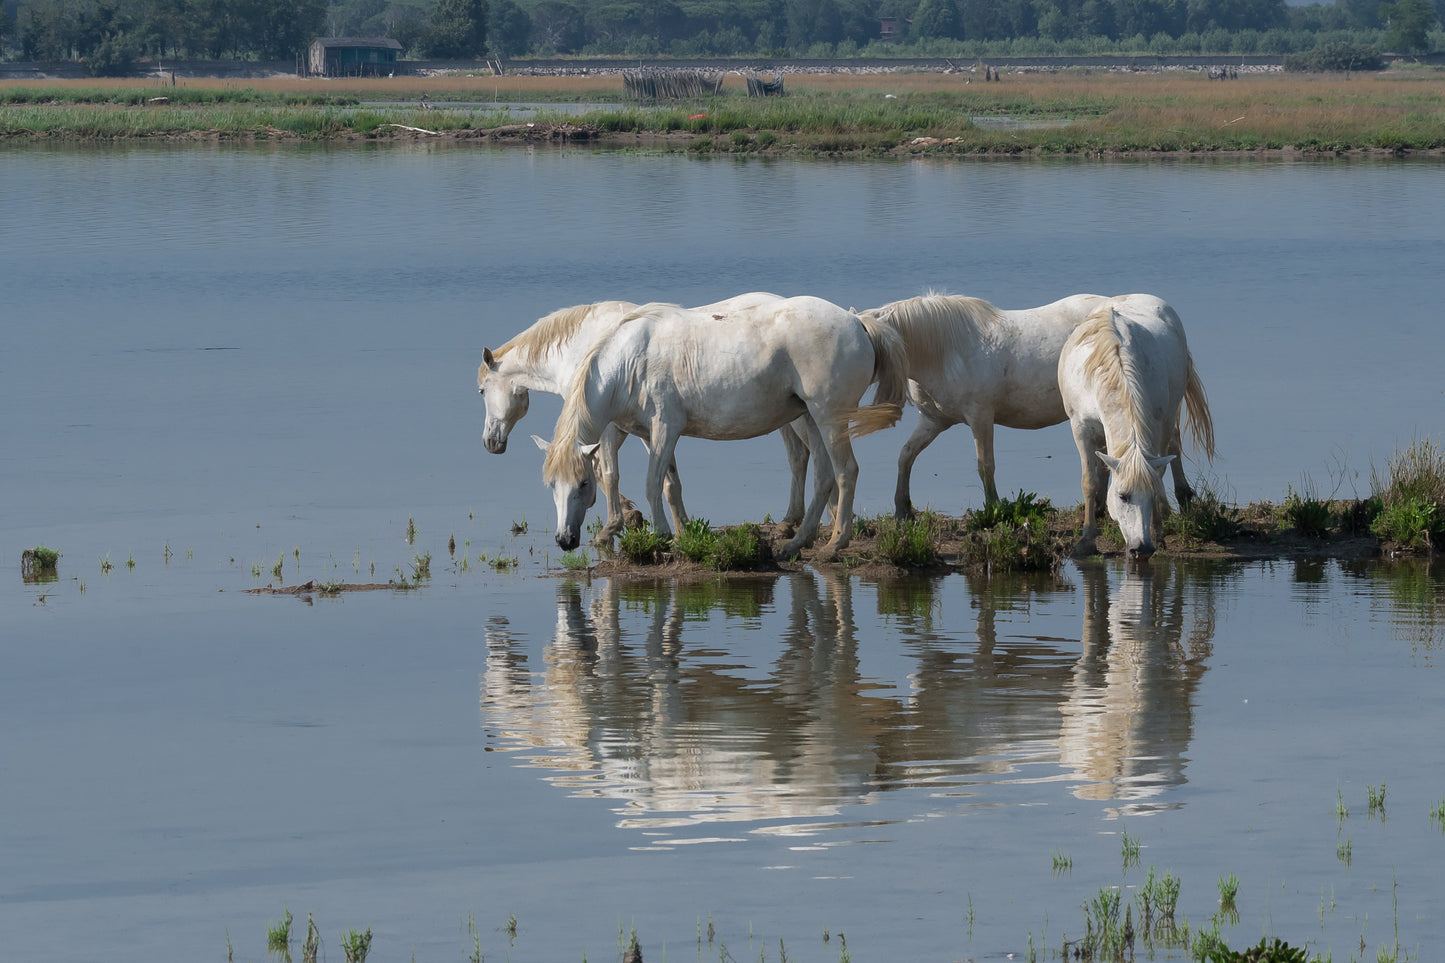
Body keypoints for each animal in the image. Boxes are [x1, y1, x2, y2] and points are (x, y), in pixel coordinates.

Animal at [479, 289, 786, 543]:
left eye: (481, 391)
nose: (490, 443)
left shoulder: (606, 426)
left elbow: (607, 473)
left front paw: (620, 521)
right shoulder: (631, 427)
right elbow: (666, 480)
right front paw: (680, 528)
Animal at [537, 296, 907, 558]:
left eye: (584, 483)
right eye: (552, 485)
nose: (565, 540)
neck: (630, 362)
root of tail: (856, 322)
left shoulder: (665, 427)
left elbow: (652, 483)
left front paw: (660, 536)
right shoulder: (649, 434)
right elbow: (670, 483)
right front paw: (680, 534)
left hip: (830, 418)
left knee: (845, 472)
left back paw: (835, 544)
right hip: (812, 420)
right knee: (824, 476)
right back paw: (796, 543)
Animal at [1057, 292, 1213, 555]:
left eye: (1149, 495)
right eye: (1122, 496)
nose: (1142, 548)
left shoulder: (1158, 423)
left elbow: (1158, 473)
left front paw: (1158, 533)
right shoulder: (1080, 427)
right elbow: (1089, 481)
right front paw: (1087, 540)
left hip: (1170, 412)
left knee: (1173, 444)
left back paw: (1180, 497)